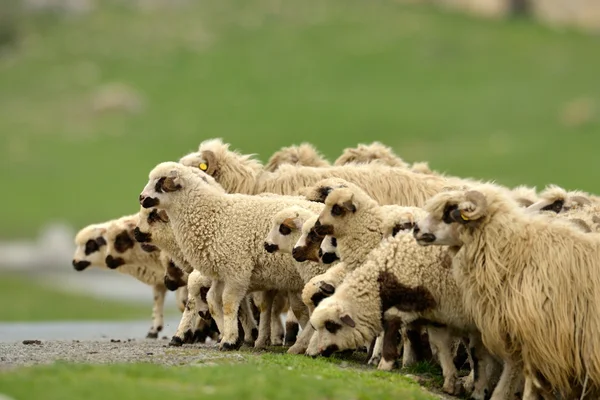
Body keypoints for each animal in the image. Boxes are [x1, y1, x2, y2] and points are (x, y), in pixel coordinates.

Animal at [138, 162, 326, 350]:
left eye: (160, 182)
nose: (141, 197)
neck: (213, 215)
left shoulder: (237, 271)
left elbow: (228, 303)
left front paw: (229, 340)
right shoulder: (221, 273)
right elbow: (213, 301)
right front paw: (229, 337)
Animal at [414, 184, 600, 400]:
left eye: (450, 211)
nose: (416, 228)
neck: (515, 252)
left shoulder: (539, 335)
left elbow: (526, 378)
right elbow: (513, 369)